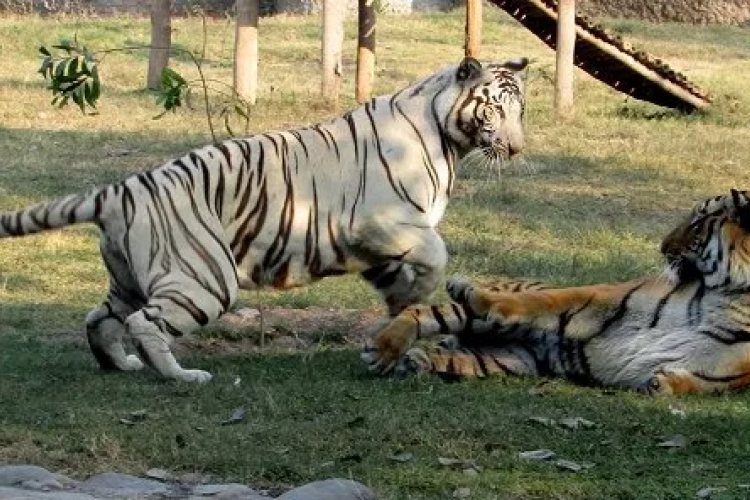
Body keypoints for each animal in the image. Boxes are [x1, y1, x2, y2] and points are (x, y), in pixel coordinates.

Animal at [0, 56, 528, 383]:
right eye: (495, 109)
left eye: (520, 109)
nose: (517, 148)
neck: (447, 137)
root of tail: (123, 187)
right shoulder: (377, 221)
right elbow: (437, 250)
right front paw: (417, 299)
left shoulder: (378, 246)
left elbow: (403, 284)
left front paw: (403, 316)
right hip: (205, 278)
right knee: (145, 323)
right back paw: (181, 376)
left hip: (129, 276)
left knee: (100, 319)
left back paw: (121, 365)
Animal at [363, 189, 750, 395]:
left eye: (697, 223)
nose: (662, 246)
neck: (734, 295)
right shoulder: (613, 300)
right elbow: (545, 301)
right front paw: (480, 296)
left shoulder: (732, 365)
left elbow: (709, 381)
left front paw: (663, 383)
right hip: (478, 325)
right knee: (422, 312)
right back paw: (385, 348)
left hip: (515, 359)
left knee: (459, 359)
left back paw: (416, 361)